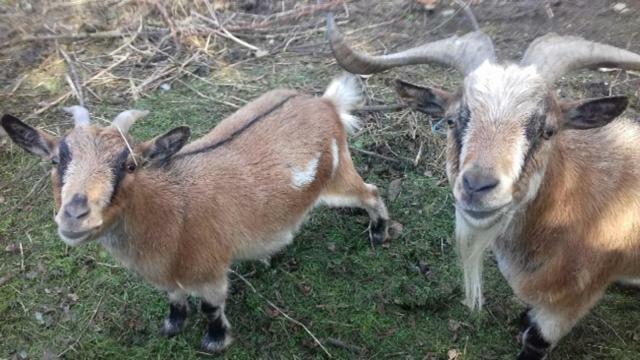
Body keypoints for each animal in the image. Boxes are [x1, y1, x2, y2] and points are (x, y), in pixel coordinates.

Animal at [1, 74, 390, 352]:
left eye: (130, 165)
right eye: (56, 161)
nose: (74, 215)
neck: (171, 214)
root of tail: (326, 103)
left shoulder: (211, 270)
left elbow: (212, 307)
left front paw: (215, 341)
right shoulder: (164, 275)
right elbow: (174, 299)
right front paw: (172, 326)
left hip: (337, 179)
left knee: (371, 192)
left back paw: (379, 232)